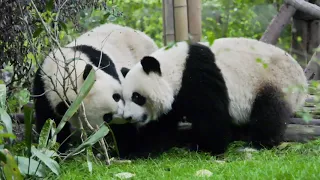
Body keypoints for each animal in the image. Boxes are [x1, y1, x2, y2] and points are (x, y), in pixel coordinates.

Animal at [32, 22, 158, 153]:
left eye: (116, 96)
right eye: (107, 117)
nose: (124, 115)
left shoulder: (103, 64)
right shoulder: (43, 91)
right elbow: (52, 124)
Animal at [119, 37, 308, 158]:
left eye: (137, 97)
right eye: (124, 98)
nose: (128, 117)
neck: (175, 68)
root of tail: (302, 79)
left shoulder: (198, 75)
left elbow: (211, 115)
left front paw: (207, 148)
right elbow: (162, 126)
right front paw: (140, 151)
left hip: (274, 81)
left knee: (269, 113)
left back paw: (257, 145)